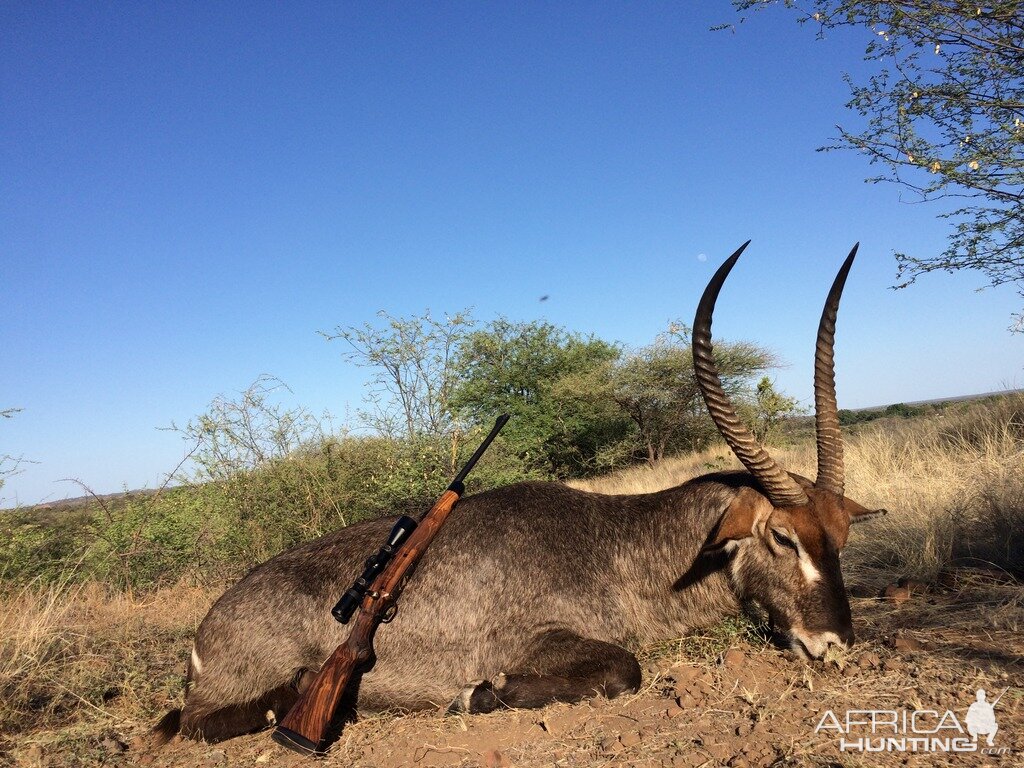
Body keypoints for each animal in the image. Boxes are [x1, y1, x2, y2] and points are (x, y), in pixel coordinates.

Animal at [155, 241, 884, 745]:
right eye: (782, 535)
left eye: (842, 535)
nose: (834, 644)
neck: (621, 545)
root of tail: (206, 630)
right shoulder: (539, 641)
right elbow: (625, 669)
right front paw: (476, 694)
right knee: (202, 722)